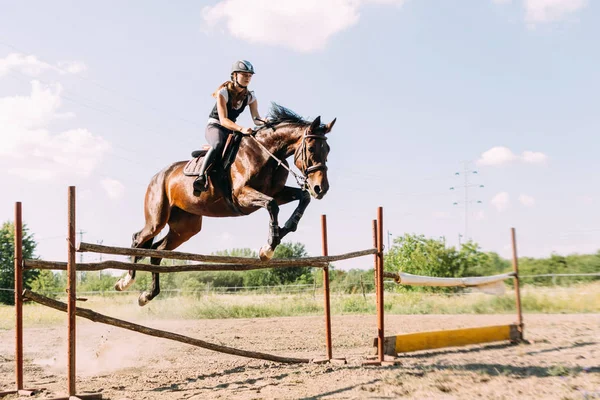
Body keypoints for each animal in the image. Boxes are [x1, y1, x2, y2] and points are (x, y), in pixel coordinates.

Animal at [115, 104, 336, 304]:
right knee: (138, 238)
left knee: (157, 251)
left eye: (328, 150)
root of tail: (159, 175)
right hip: (157, 218)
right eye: (311, 148)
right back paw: (125, 281)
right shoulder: (242, 196)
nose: (321, 188)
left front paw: (282, 232)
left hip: (185, 228)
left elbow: (302, 198)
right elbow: (272, 205)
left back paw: (147, 295)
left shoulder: (277, 192)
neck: (268, 154)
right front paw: (268, 248)